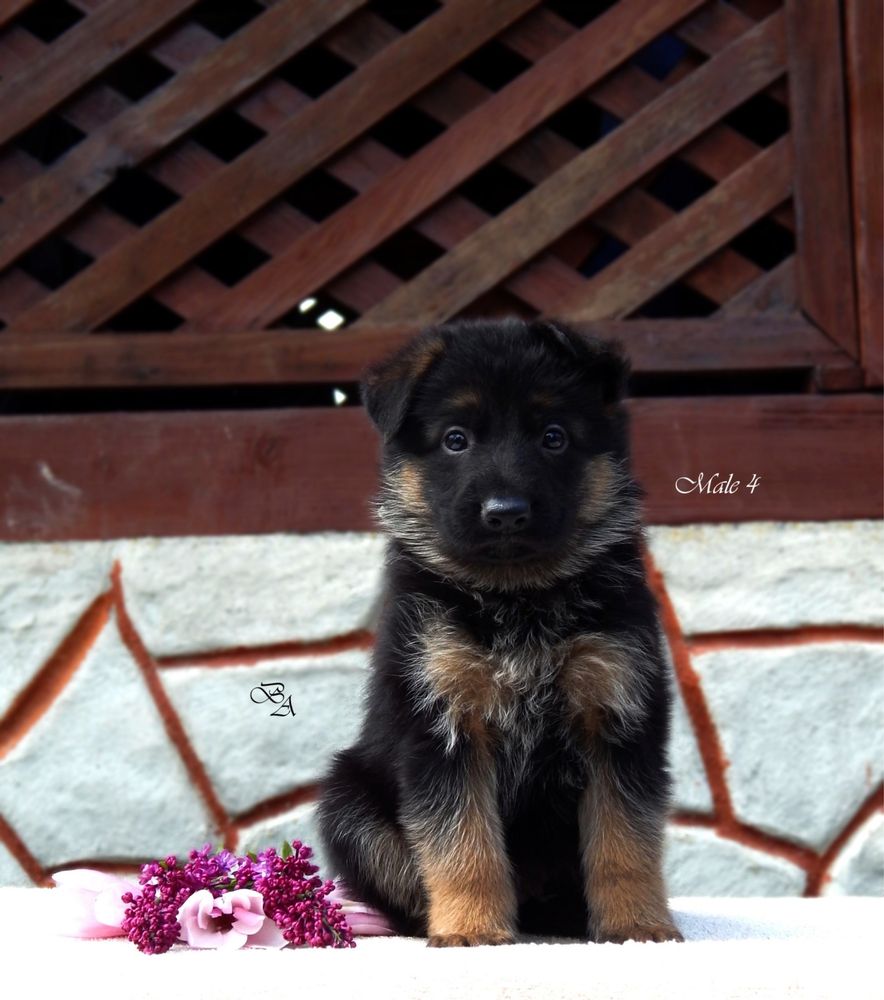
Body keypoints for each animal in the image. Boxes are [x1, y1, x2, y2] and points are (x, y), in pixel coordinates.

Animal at [320, 318, 684, 944]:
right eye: (455, 439)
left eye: (553, 437)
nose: (506, 512)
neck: (517, 597)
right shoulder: (445, 723)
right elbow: (462, 842)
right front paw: (471, 928)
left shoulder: (617, 714)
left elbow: (625, 841)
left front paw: (636, 924)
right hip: (349, 801)